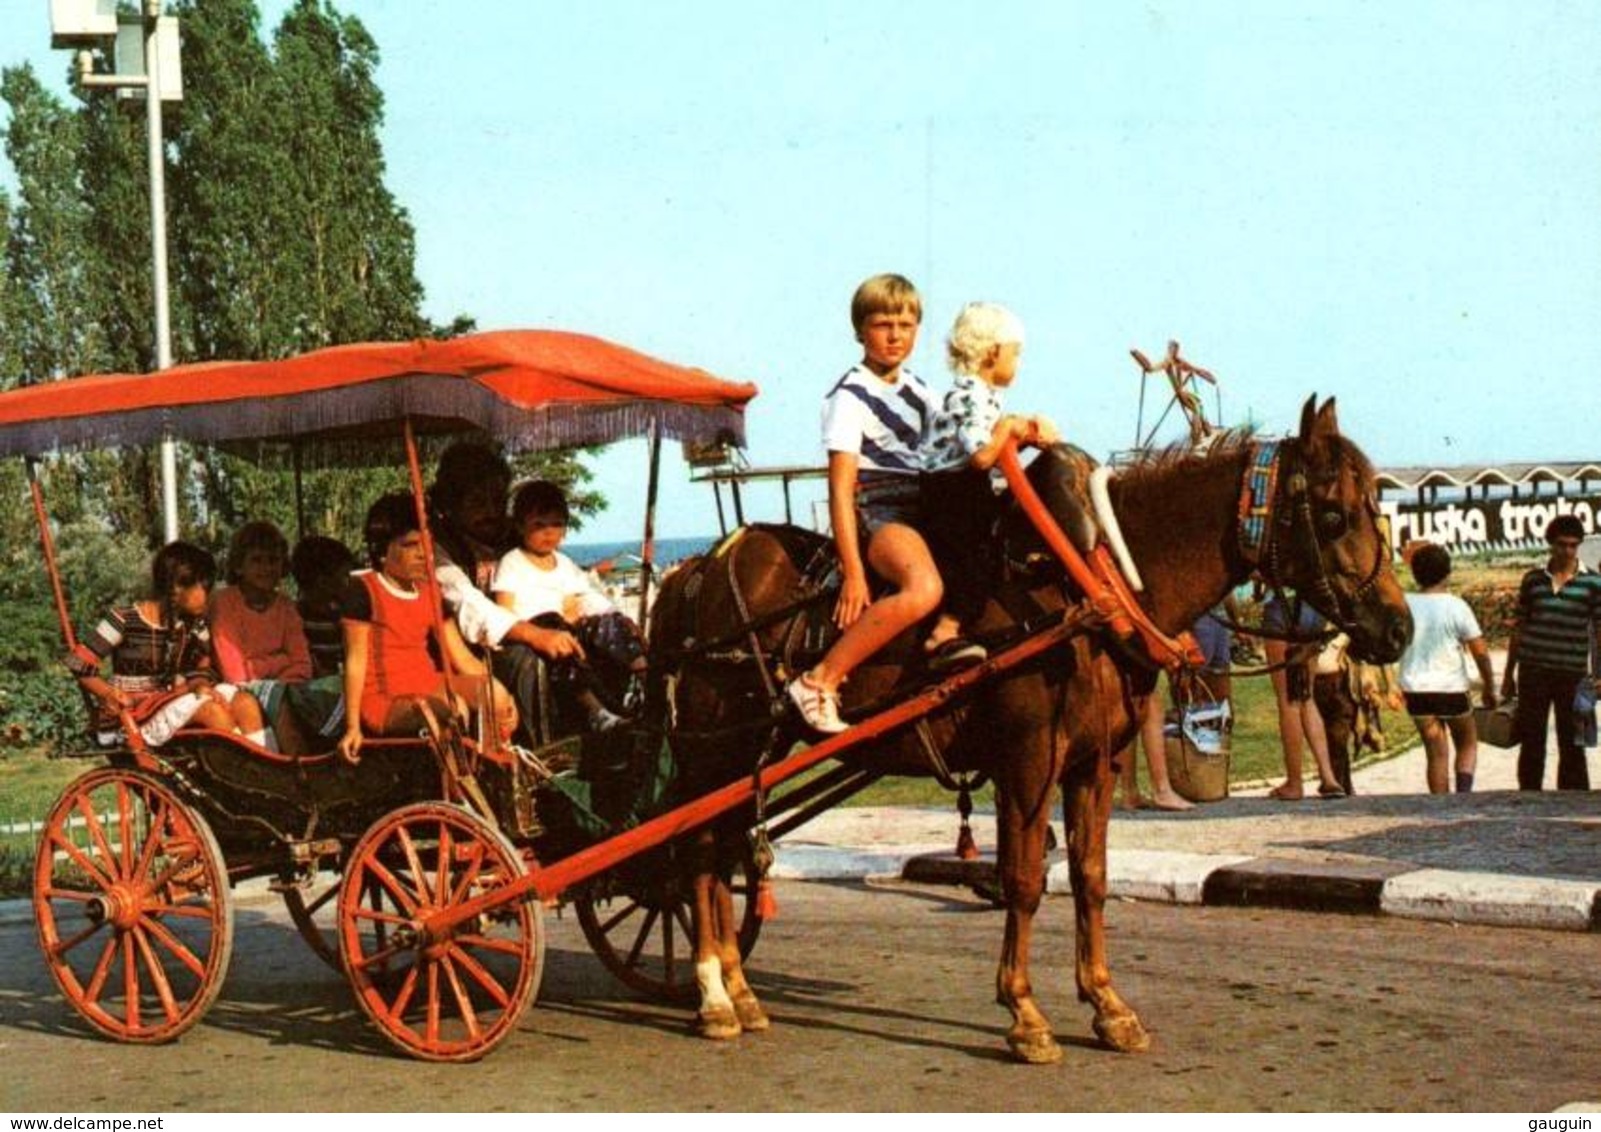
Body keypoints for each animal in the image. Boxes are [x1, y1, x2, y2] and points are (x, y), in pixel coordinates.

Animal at [643, 398, 1408, 1063]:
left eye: (1376, 506)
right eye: (1334, 514)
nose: (1398, 628)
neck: (1091, 586)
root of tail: (696, 569)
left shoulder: (1095, 763)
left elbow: (1091, 878)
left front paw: (1106, 1005)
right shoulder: (1028, 757)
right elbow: (1023, 879)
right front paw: (1025, 1013)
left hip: (751, 748)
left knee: (718, 844)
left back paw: (737, 987)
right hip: (716, 744)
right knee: (696, 849)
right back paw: (713, 992)